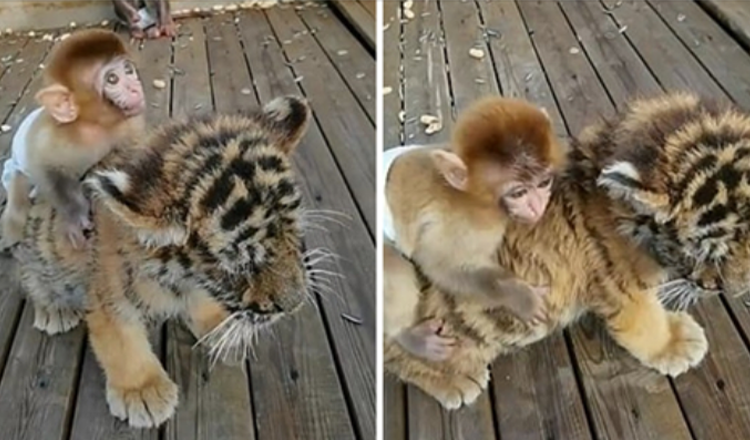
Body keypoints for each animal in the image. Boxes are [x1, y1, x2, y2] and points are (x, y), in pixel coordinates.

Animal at [388, 96, 564, 360]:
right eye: (519, 193)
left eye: (543, 182)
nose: (537, 206)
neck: (474, 198)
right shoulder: (469, 226)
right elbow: (444, 267)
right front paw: (521, 296)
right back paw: (407, 336)